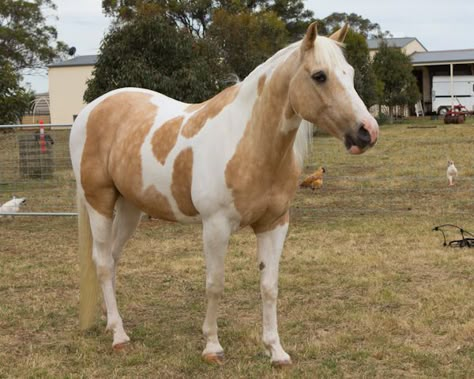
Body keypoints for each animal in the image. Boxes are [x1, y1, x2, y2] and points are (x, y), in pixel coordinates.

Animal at [70, 22, 380, 366]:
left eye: (350, 73)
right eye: (319, 75)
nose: (367, 132)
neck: (248, 143)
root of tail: (90, 111)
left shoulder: (274, 224)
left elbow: (269, 286)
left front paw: (276, 350)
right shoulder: (216, 226)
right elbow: (215, 285)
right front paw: (212, 346)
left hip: (129, 207)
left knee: (112, 259)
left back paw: (110, 321)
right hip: (99, 201)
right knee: (102, 262)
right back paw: (120, 336)